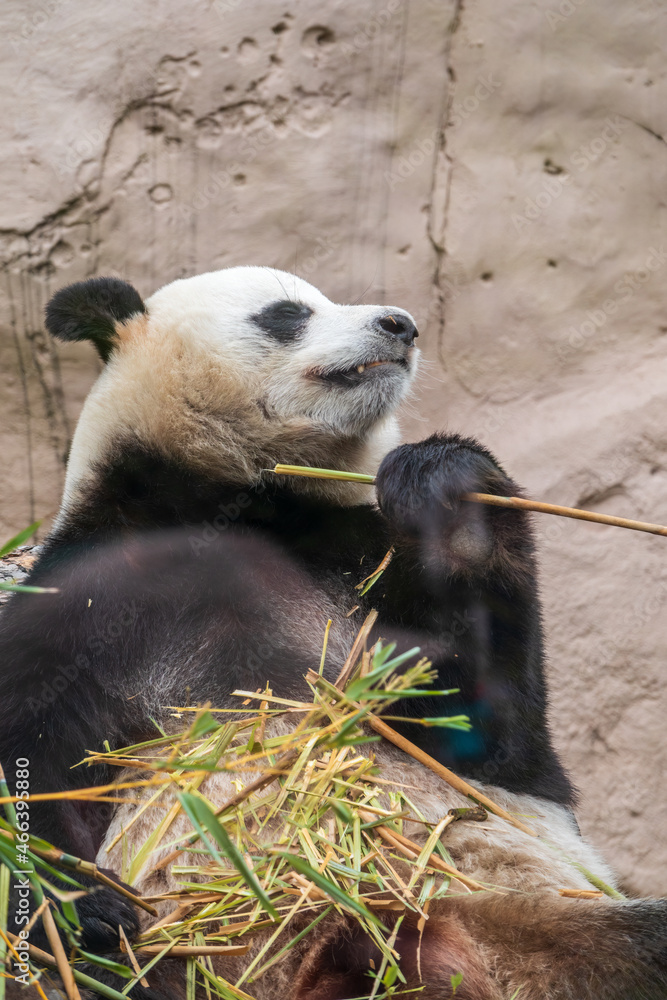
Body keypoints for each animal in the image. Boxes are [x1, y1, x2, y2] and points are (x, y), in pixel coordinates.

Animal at [0, 267, 665, 999]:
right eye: (287, 313)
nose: (400, 323)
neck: (242, 501)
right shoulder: (92, 590)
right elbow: (31, 748)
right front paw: (83, 908)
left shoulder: (358, 567)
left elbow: (489, 736)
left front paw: (447, 494)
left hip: (527, 923)